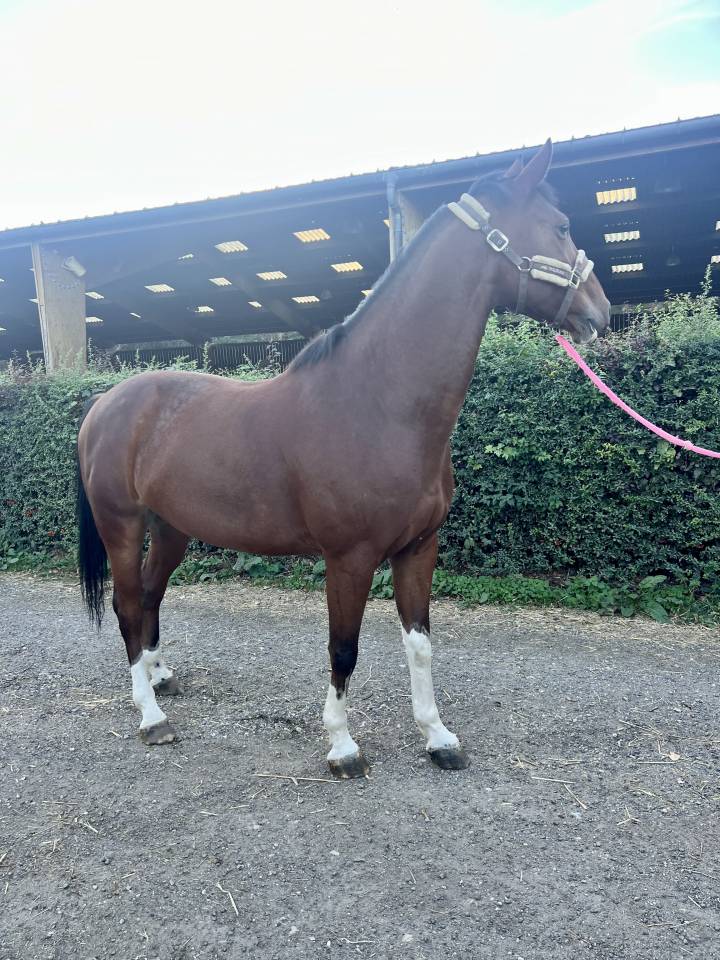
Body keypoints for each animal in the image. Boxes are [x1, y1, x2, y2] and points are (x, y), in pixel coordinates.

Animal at [76, 138, 610, 778]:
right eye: (560, 226)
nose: (601, 313)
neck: (380, 402)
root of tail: (105, 403)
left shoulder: (418, 549)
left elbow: (420, 644)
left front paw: (437, 737)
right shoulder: (349, 558)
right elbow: (344, 647)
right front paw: (342, 745)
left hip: (173, 527)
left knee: (152, 596)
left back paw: (161, 677)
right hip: (123, 525)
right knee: (128, 604)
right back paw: (151, 716)